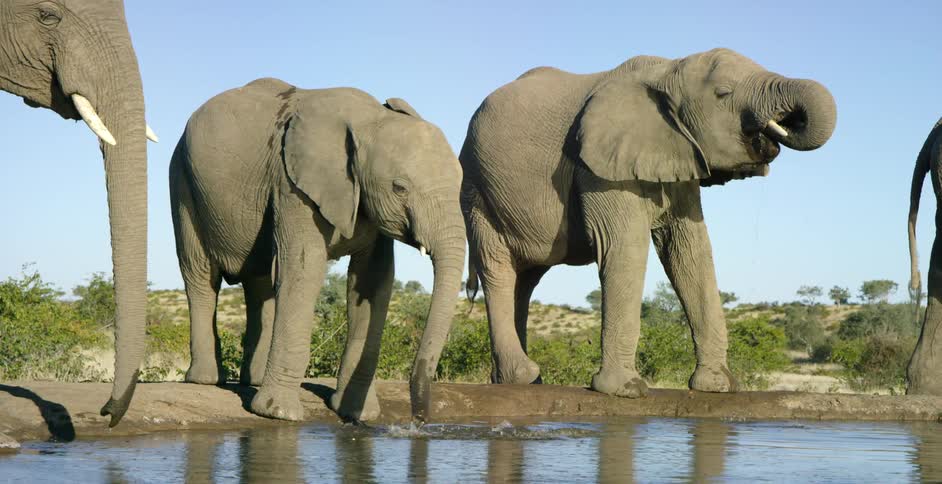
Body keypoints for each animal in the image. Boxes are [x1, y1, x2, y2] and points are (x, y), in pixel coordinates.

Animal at [170, 78, 466, 422]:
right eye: (399, 187)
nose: (419, 419)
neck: (369, 120)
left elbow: (372, 283)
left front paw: (358, 415)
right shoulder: (293, 185)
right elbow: (304, 271)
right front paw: (279, 414)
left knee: (260, 285)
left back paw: (252, 380)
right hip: (182, 180)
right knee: (201, 276)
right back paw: (206, 379)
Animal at [461, 48, 837, 396]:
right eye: (724, 93)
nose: (785, 123)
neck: (668, 71)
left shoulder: (680, 154)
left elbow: (690, 251)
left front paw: (716, 386)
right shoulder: (597, 167)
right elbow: (625, 247)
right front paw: (624, 390)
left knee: (526, 279)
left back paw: (517, 380)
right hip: (477, 192)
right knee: (499, 270)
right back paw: (522, 377)